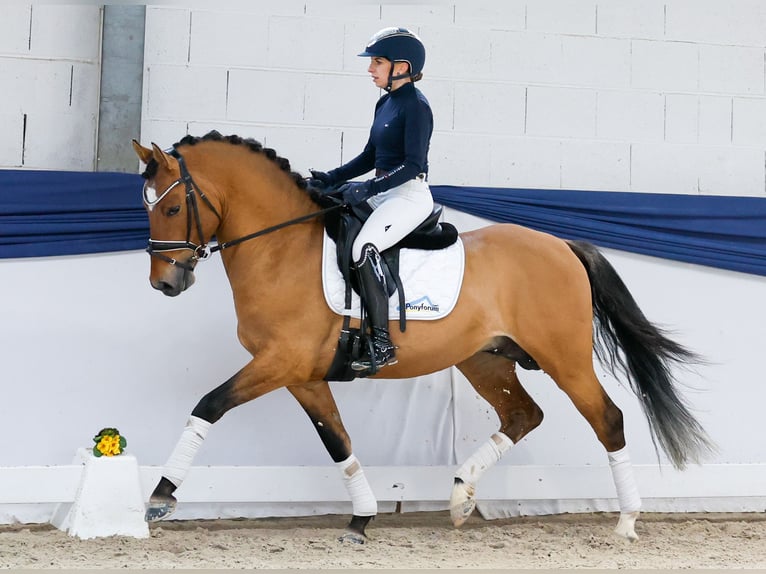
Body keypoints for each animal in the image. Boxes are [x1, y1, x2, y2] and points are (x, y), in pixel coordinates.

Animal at [131, 131, 713, 543]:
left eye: (173, 207)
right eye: (147, 206)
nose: (165, 283)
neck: (282, 249)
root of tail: (562, 245)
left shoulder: (280, 363)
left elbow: (208, 405)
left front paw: (160, 498)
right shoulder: (301, 374)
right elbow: (337, 439)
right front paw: (361, 519)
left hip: (564, 358)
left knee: (607, 418)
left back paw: (627, 522)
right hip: (486, 359)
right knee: (523, 415)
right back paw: (459, 497)